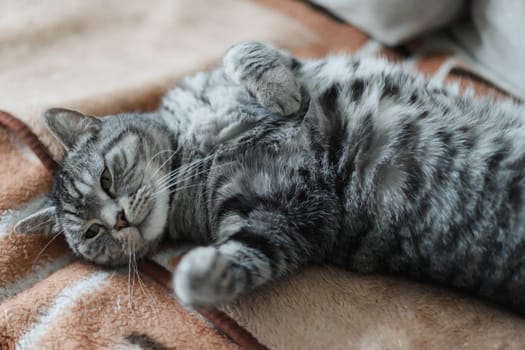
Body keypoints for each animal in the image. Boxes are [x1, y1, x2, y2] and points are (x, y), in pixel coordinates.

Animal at [14, 41, 524, 314]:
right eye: (92, 232)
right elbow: (250, 254)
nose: (117, 220)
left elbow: (244, 52)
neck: (194, 147)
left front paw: (280, 93)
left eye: (106, 178)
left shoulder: (285, 66)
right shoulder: (283, 218)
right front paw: (200, 276)